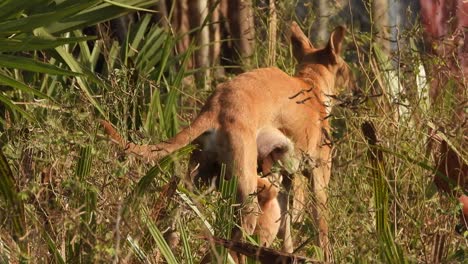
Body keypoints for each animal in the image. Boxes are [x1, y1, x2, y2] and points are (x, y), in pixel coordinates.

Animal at [103, 22, 352, 260]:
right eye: (346, 69)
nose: (354, 86)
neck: (310, 85)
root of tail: (215, 106)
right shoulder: (318, 178)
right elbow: (322, 233)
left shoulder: (286, 181)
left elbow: (288, 235)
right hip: (246, 200)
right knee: (231, 246)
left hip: (197, 186)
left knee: (172, 229)